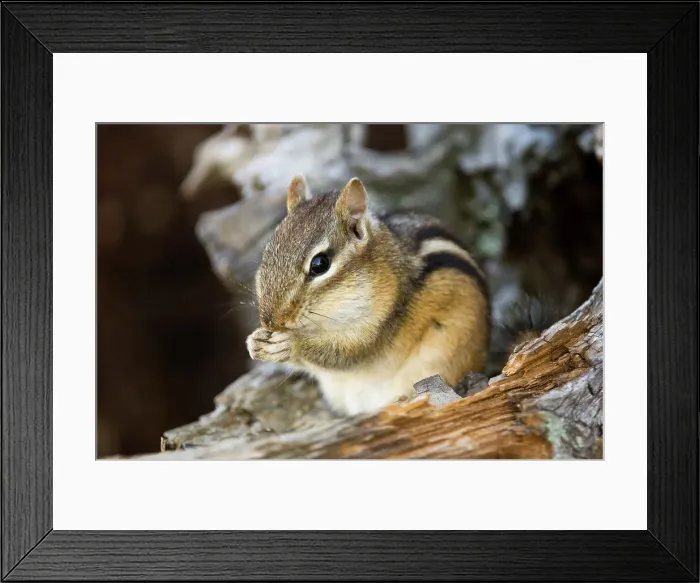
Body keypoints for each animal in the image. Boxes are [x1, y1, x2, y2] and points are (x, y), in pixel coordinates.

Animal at [246, 175, 491, 416]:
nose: (271, 322)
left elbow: (350, 354)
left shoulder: (384, 318)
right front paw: (255, 341)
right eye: (268, 252)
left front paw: (290, 344)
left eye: (320, 264)